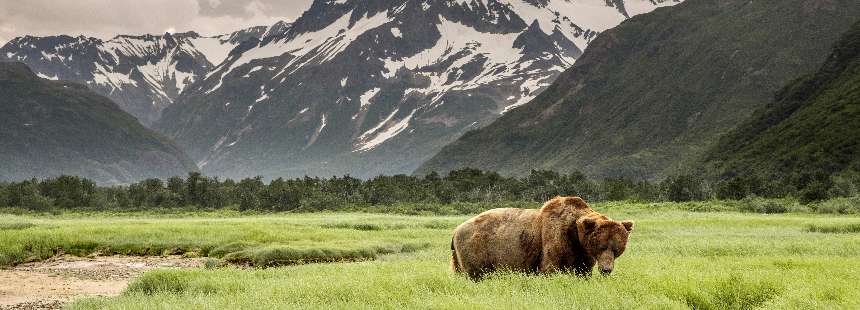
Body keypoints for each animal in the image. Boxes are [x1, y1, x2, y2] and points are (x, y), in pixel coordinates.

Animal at [450, 196, 632, 280]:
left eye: (617, 249)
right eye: (601, 246)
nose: (606, 269)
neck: (575, 234)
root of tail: (456, 230)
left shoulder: (582, 252)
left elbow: (582, 270)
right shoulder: (555, 239)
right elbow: (549, 268)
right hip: (477, 248)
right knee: (475, 274)